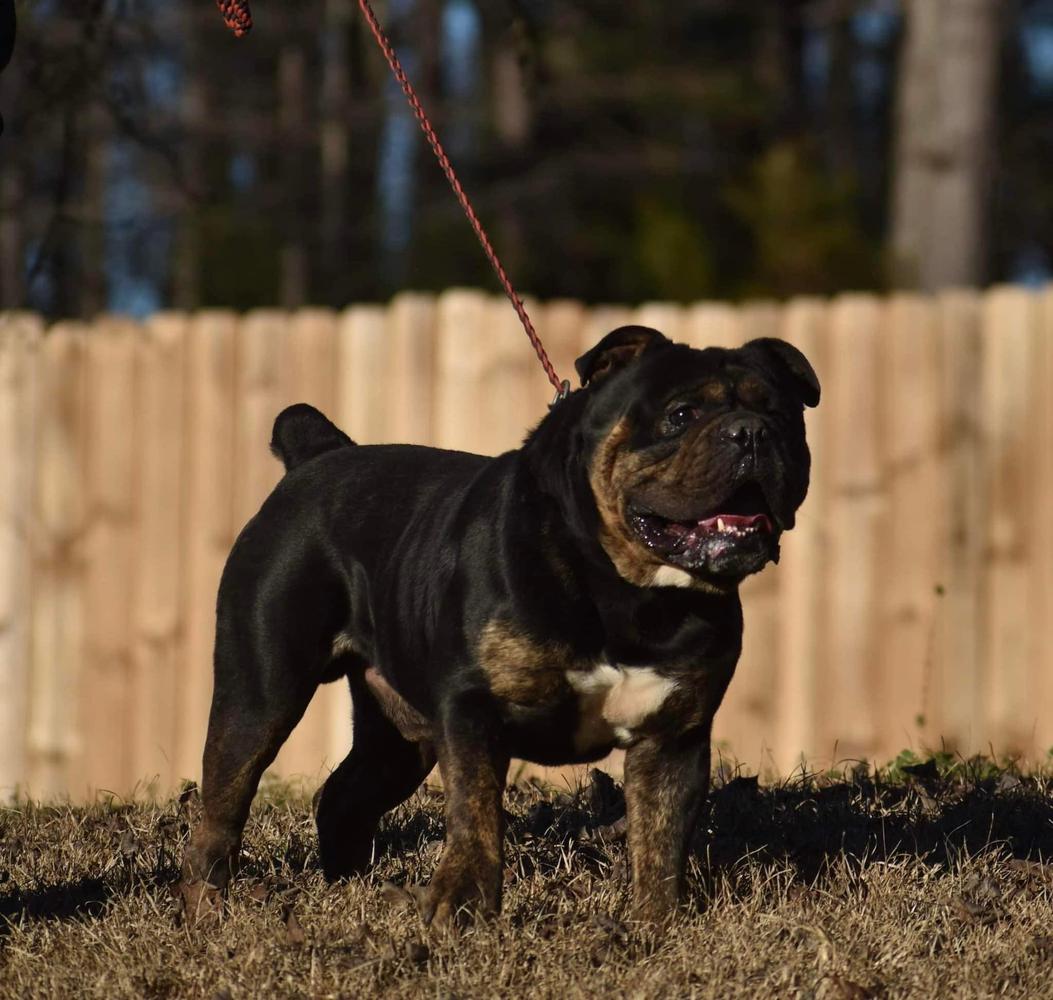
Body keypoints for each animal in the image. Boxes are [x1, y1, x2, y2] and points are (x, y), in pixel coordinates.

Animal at [181, 324, 817, 926]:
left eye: (783, 417)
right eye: (680, 415)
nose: (751, 432)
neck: (625, 590)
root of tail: (317, 457)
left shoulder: (673, 738)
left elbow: (660, 845)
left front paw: (657, 926)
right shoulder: (473, 709)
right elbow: (477, 812)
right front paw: (462, 908)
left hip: (399, 737)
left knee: (344, 797)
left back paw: (349, 890)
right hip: (261, 693)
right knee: (222, 807)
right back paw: (208, 909)